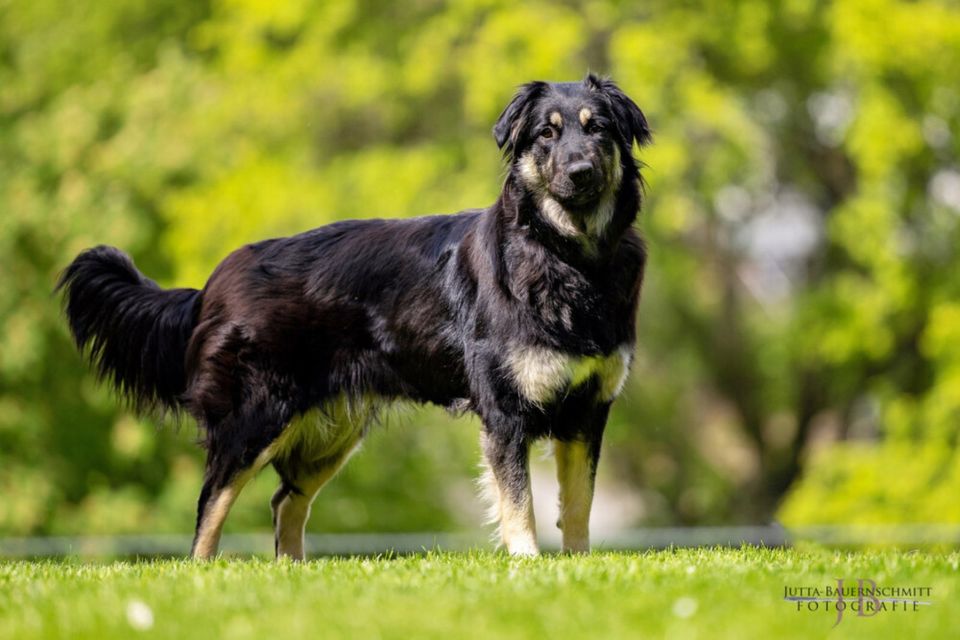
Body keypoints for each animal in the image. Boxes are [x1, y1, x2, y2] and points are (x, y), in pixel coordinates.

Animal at [58, 72, 652, 556]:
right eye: (546, 135)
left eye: (597, 130)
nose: (580, 171)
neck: (567, 255)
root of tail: (211, 285)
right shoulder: (505, 412)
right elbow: (519, 502)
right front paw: (528, 567)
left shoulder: (587, 411)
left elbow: (578, 505)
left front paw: (576, 568)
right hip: (254, 418)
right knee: (210, 508)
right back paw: (204, 575)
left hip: (332, 432)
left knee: (285, 502)